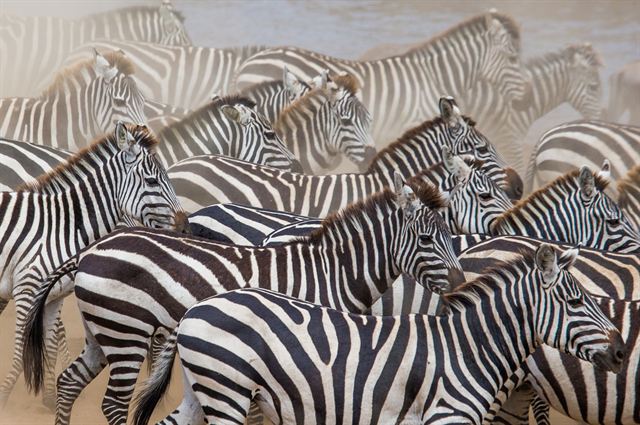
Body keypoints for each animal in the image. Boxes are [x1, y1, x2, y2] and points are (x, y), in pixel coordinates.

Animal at [0, 122, 185, 410]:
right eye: (152, 181)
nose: (186, 225)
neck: (61, 227)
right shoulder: (27, 291)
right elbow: (20, 354)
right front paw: (5, 400)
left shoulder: (51, 299)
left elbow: (47, 344)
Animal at [22, 176, 465, 425]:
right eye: (428, 239)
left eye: (450, 233)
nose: (462, 283)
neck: (329, 272)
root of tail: (91, 250)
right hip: (126, 330)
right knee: (114, 405)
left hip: (102, 331)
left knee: (68, 383)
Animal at [132, 243, 625, 425]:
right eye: (575, 302)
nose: (622, 353)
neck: (469, 350)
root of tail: (194, 309)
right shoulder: (446, 417)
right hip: (227, 391)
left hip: (203, 390)